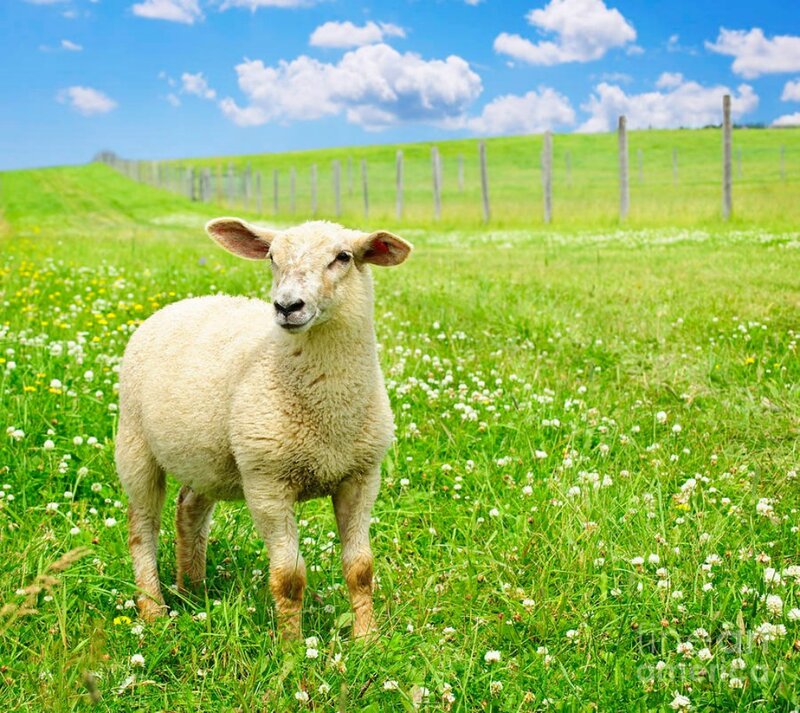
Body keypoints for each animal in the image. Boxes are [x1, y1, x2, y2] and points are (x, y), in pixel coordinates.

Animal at [115, 217, 412, 640]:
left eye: (343, 257)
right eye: (272, 257)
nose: (287, 306)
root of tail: (185, 302)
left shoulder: (361, 477)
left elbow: (360, 568)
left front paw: (367, 638)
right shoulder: (267, 482)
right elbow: (288, 577)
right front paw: (292, 647)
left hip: (208, 457)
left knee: (189, 506)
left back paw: (193, 592)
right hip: (135, 444)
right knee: (142, 529)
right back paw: (153, 610)